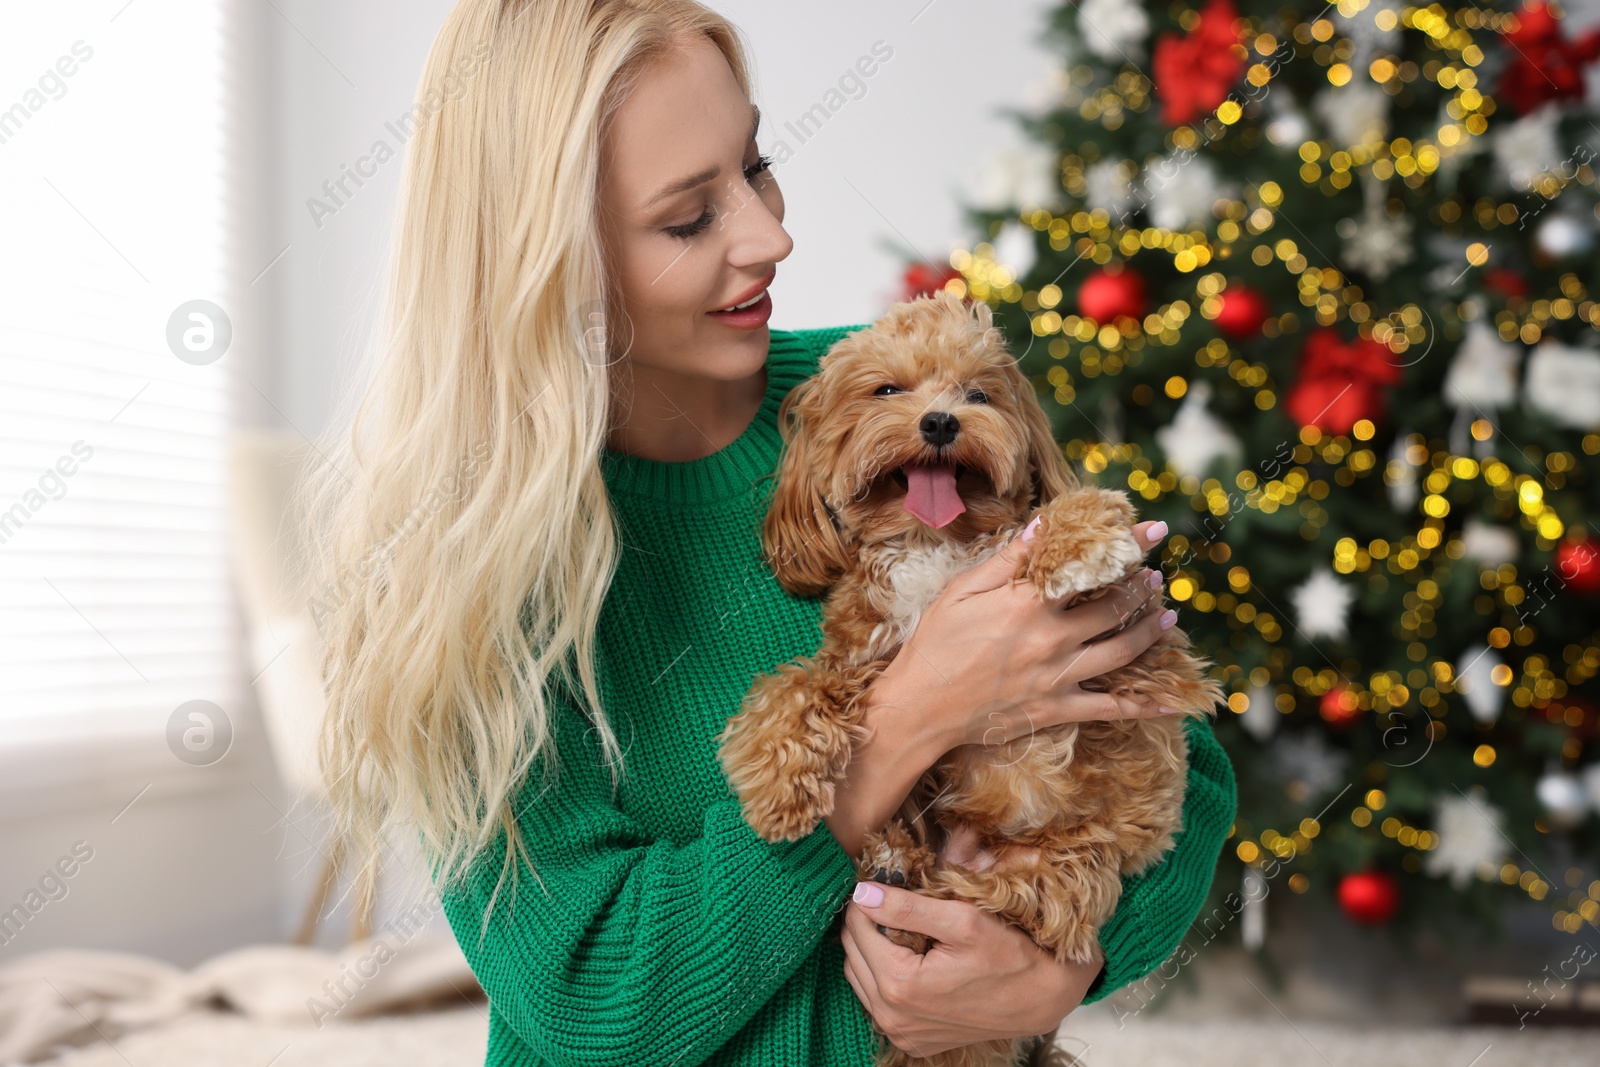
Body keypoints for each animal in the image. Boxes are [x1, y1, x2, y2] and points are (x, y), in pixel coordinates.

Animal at [720, 289, 1216, 1067]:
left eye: (978, 394)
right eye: (887, 390)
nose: (940, 421)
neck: (936, 544)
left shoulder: (1144, 643)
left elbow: (1069, 520)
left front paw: (1080, 543)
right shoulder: (867, 660)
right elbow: (792, 685)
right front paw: (774, 782)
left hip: (1071, 863)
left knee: (1029, 909)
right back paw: (892, 866)